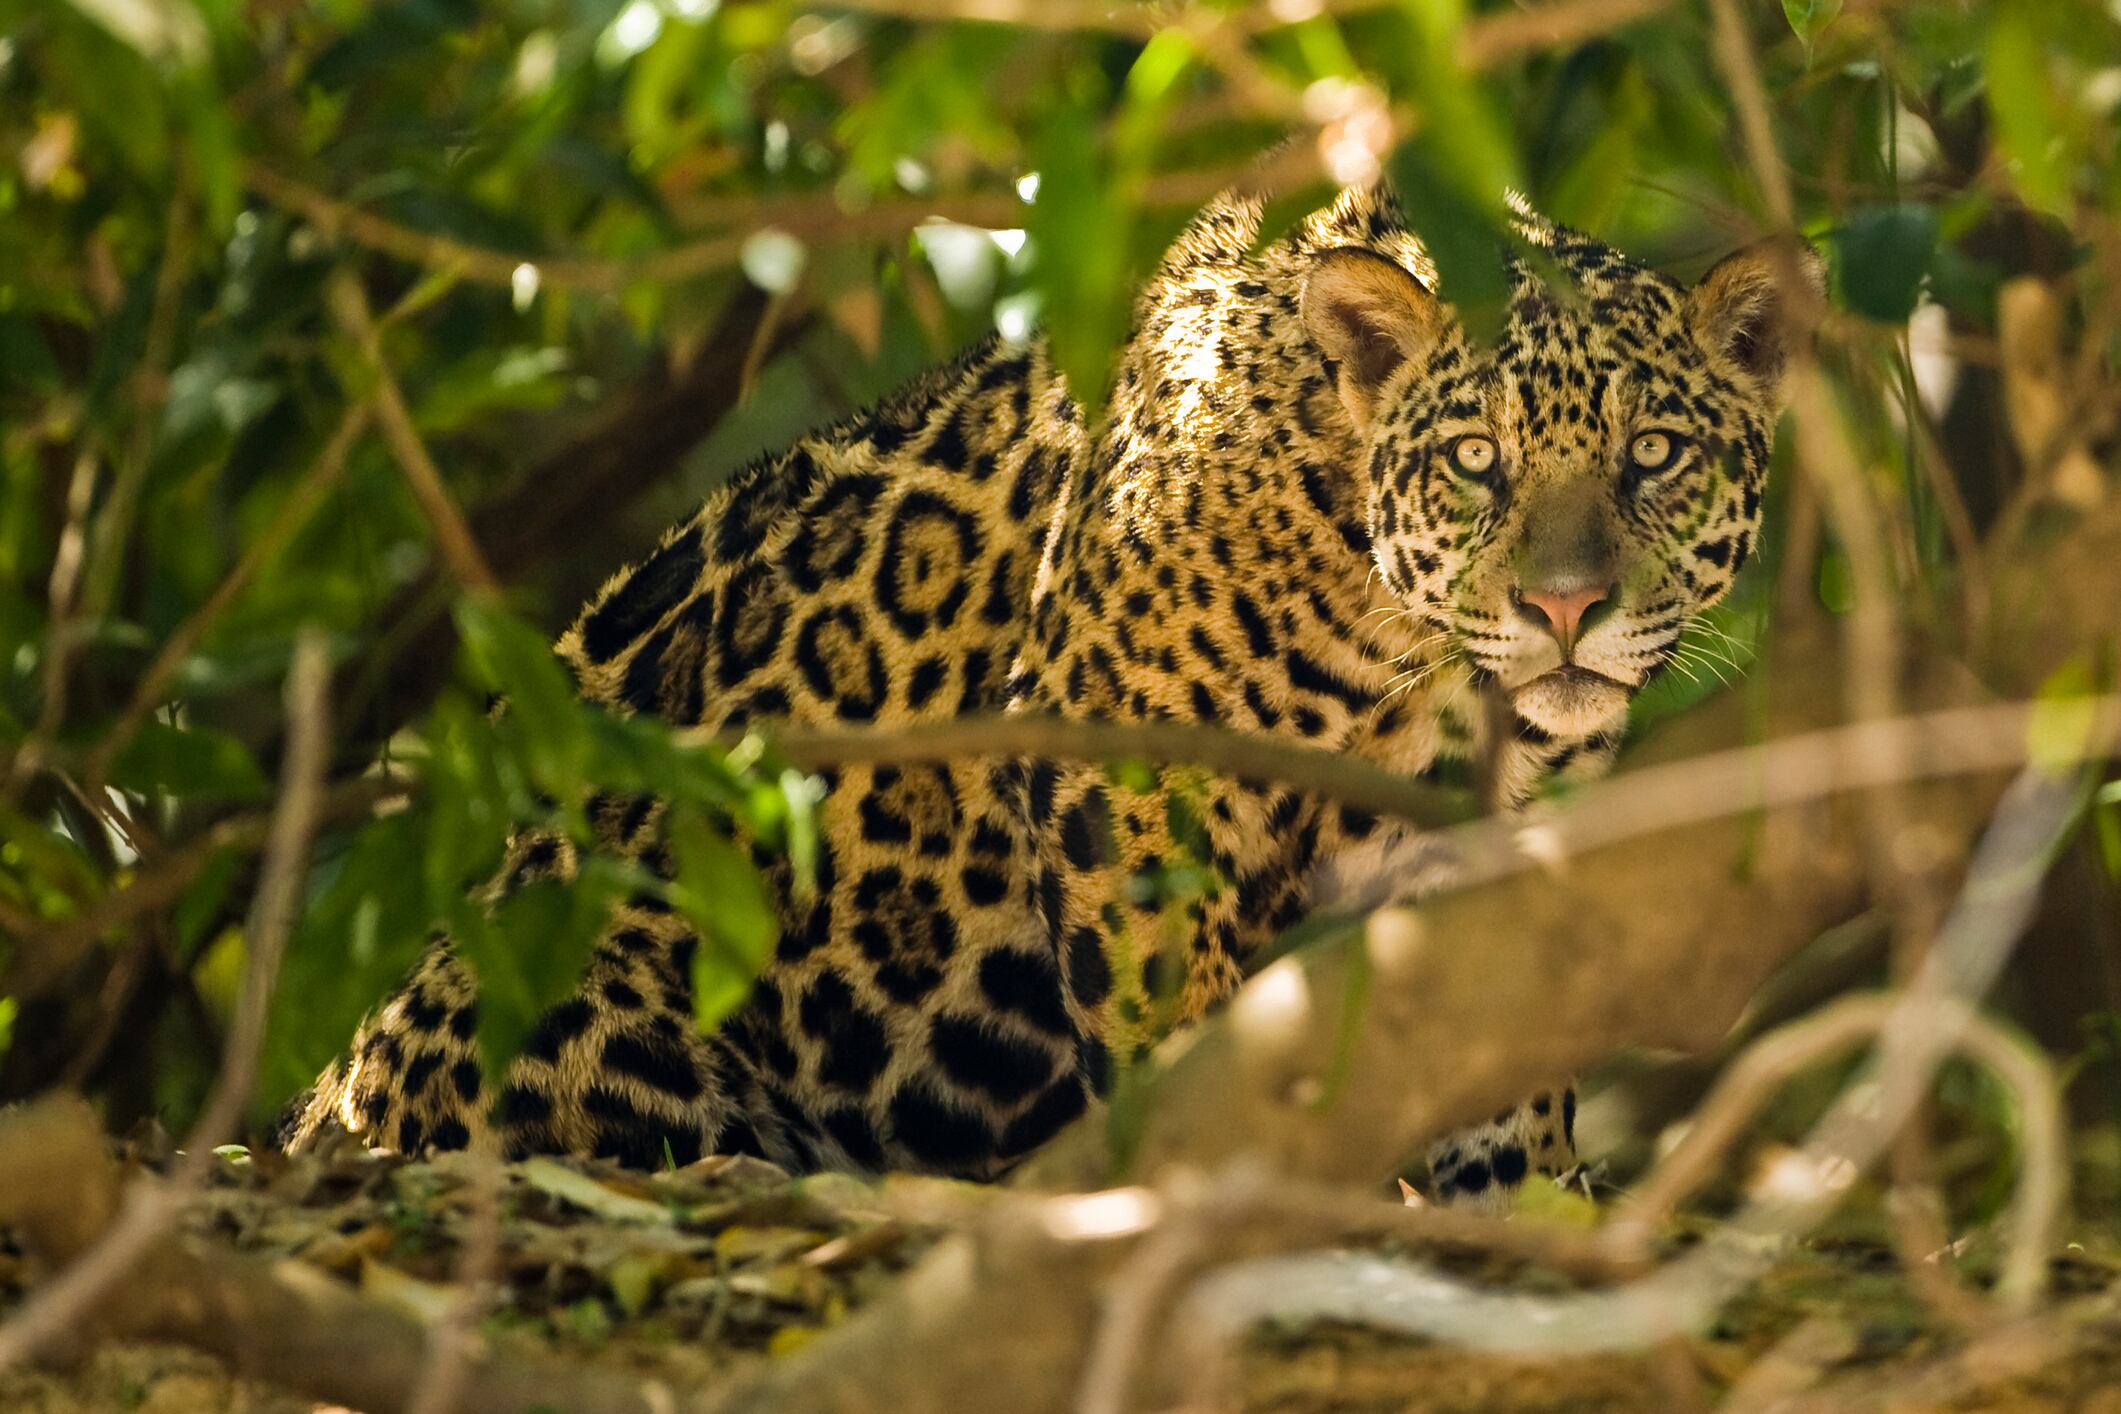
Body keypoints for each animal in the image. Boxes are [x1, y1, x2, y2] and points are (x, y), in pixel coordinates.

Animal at [283, 183, 1819, 1210]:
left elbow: (1504, 1053)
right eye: (1477, 460)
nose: (1567, 611)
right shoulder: (1130, 771)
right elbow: (1181, 1024)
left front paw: (1520, 1201)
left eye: (1657, 453)